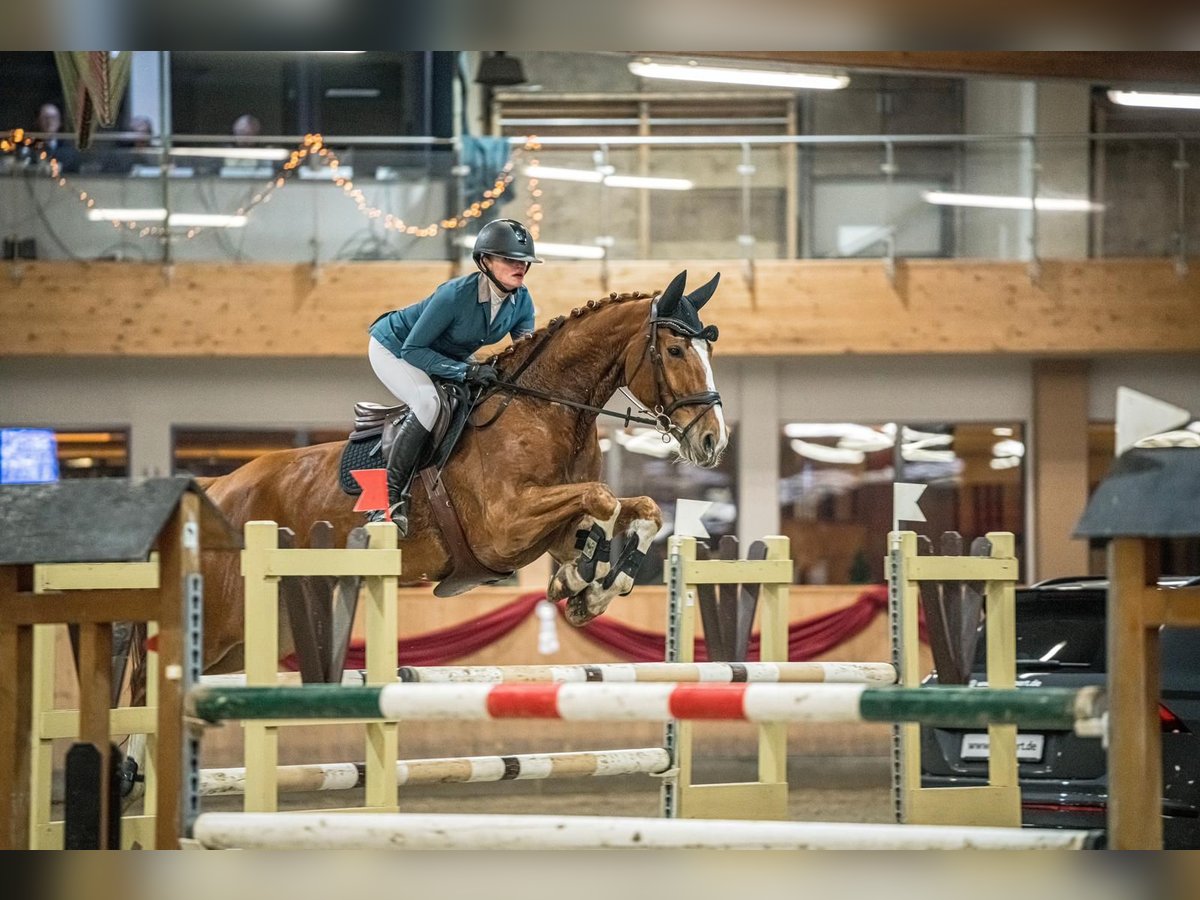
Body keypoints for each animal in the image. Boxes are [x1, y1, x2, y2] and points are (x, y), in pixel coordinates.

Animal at [190, 267, 724, 676]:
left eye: (709, 351)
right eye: (675, 351)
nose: (712, 441)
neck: (545, 408)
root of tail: (221, 486)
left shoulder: (544, 528)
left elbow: (642, 509)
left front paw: (588, 590)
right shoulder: (504, 525)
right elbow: (603, 499)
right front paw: (579, 580)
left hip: (261, 629)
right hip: (222, 624)